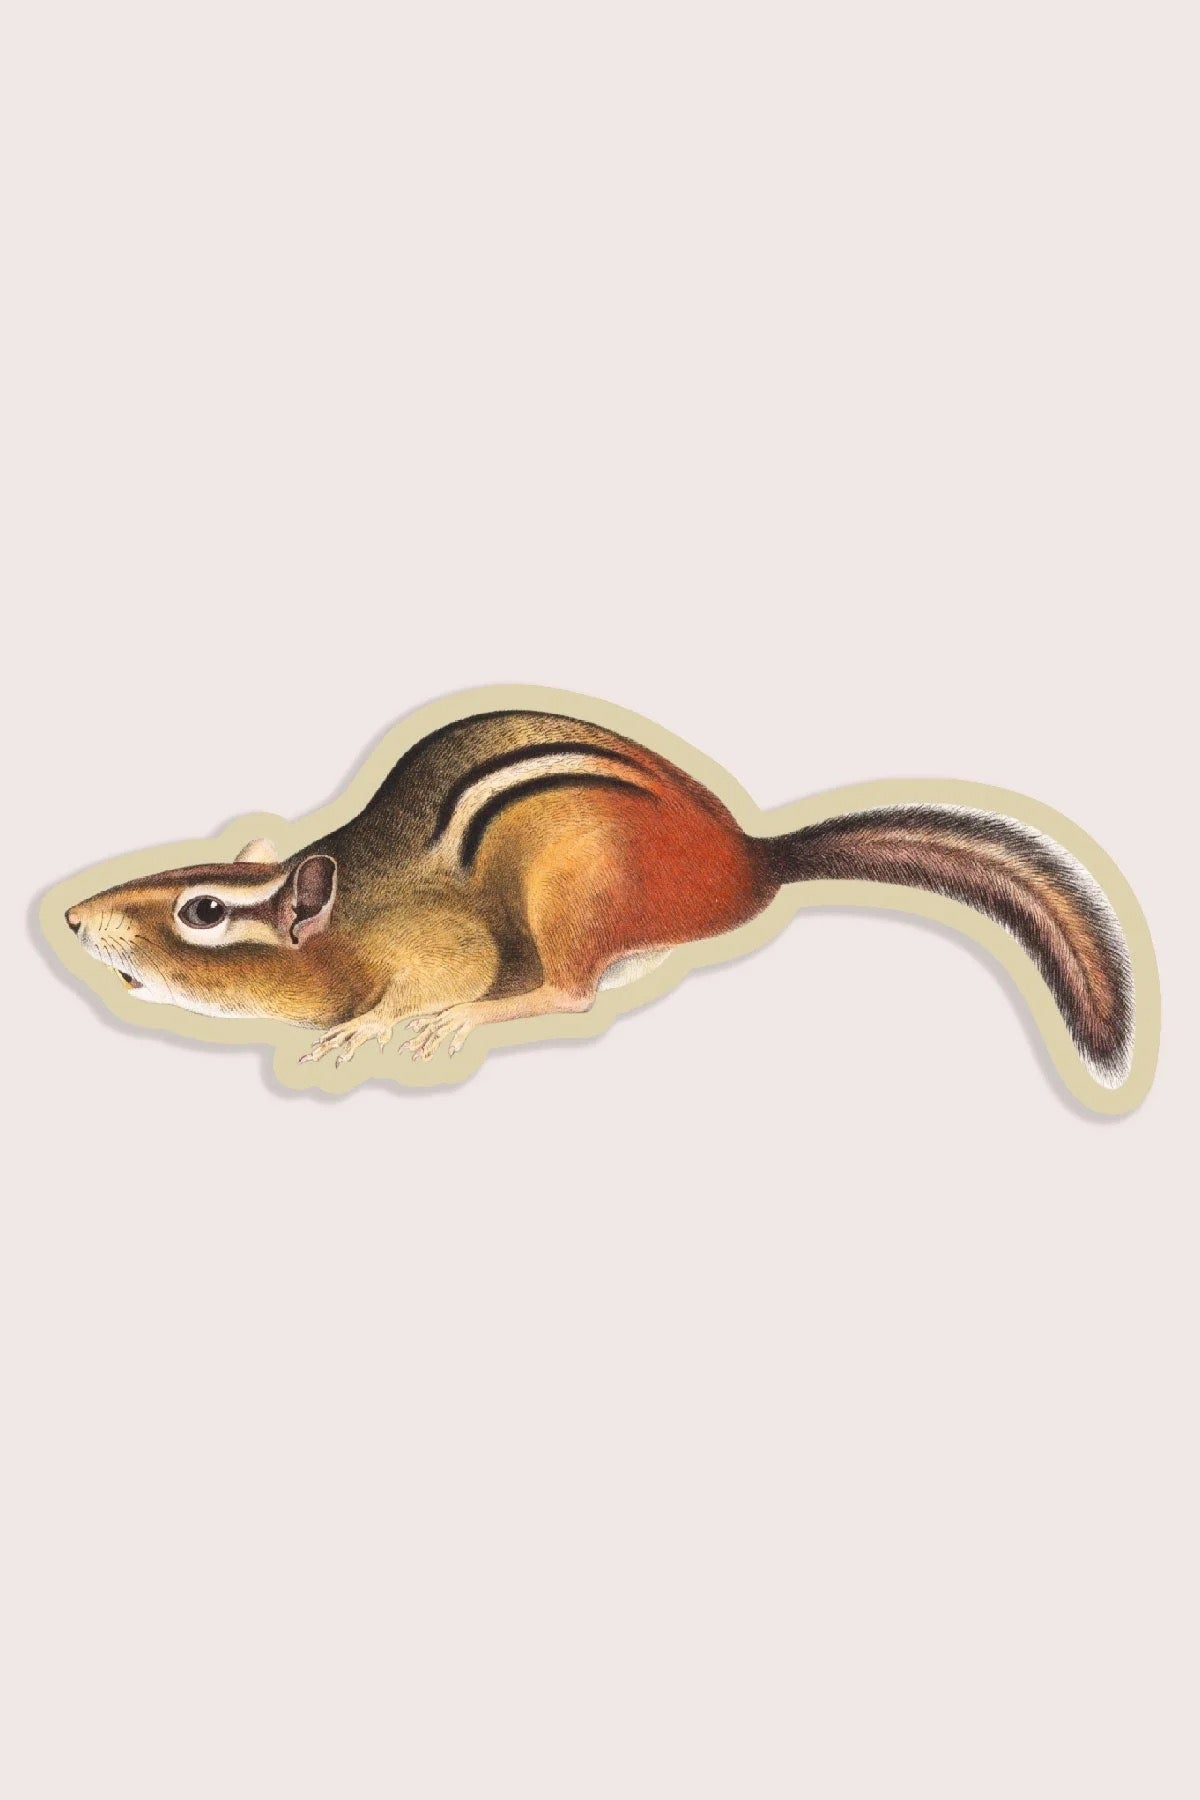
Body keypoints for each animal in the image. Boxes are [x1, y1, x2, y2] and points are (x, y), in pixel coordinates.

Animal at [63, 707, 1134, 1083]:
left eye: (202, 912)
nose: (70, 918)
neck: (354, 918)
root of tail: (752, 862)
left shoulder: (442, 945)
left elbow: (431, 980)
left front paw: (368, 1027)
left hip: (570, 886)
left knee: (571, 991)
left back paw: (481, 1015)